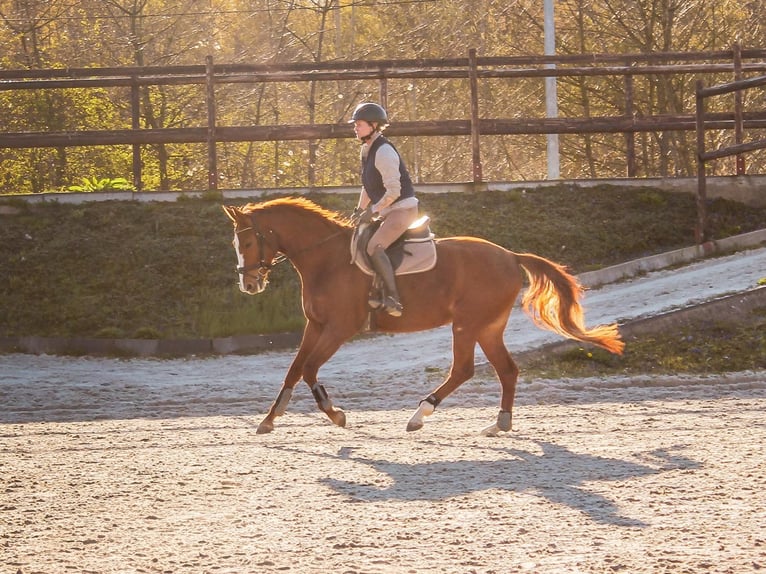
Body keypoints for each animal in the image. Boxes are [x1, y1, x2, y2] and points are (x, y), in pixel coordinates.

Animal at [223, 196, 624, 435]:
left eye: (248, 241)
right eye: (235, 243)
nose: (249, 284)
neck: (326, 260)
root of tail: (510, 256)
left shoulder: (339, 328)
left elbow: (309, 369)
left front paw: (334, 413)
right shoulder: (315, 325)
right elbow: (294, 369)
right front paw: (270, 419)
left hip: (468, 324)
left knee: (463, 369)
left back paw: (420, 415)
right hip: (488, 327)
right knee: (507, 370)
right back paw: (499, 424)